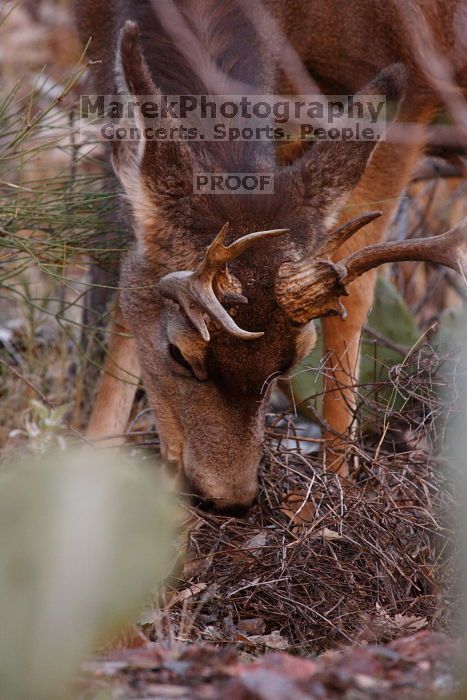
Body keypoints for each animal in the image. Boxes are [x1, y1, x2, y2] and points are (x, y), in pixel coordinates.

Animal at [74, 0, 467, 513]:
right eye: (179, 354)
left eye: (290, 361)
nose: (227, 498)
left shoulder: (418, 75)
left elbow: (354, 292)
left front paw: (338, 485)